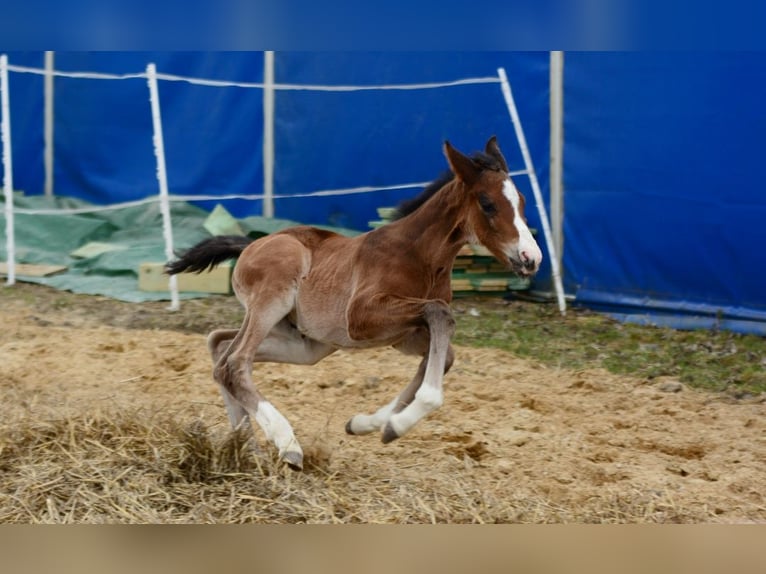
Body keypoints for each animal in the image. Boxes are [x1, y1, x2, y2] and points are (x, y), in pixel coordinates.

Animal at [166, 136, 542, 470]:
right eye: (487, 203)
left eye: (522, 201)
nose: (532, 258)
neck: (417, 255)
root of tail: (250, 244)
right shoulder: (361, 319)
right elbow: (440, 313)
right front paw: (398, 423)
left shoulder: (403, 336)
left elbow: (442, 353)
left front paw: (372, 424)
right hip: (274, 299)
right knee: (235, 361)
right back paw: (287, 444)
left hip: (306, 344)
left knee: (220, 348)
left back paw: (249, 451)